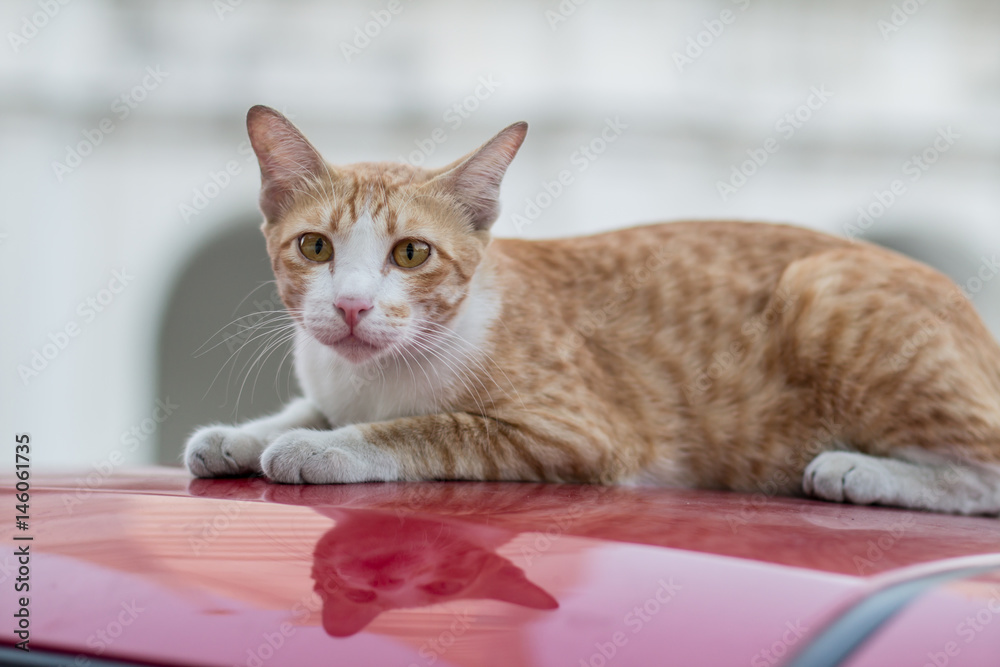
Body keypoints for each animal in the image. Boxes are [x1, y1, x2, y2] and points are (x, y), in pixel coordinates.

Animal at [184, 105, 1000, 516]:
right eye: (315, 246)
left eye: (411, 254)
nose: (352, 306)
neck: (374, 374)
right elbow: (306, 407)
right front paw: (243, 435)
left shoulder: (577, 432)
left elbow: (428, 428)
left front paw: (325, 446)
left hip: (824, 288)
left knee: (984, 468)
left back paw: (856, 469)